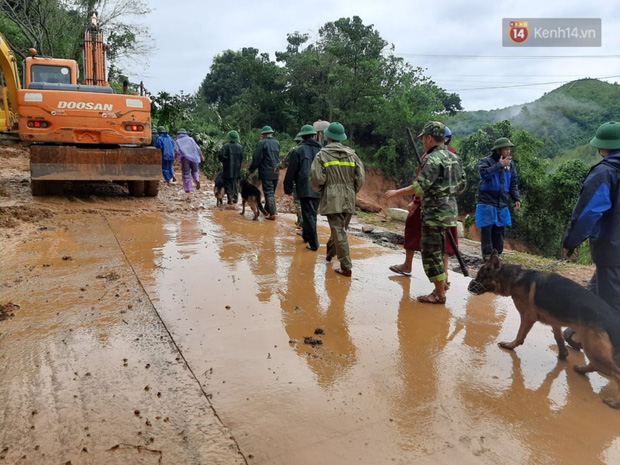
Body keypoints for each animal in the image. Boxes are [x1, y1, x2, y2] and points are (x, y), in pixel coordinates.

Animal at [470, 250, 620, 406]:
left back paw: (615, 402)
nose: (469, 287)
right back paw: (581, 369)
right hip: (592, 348)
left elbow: (520, 336)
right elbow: (558, 337)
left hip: (594, 349)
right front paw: (562, 354)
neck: (516, 278)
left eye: (480, 277)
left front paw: (510, 345)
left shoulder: (528, 317)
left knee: (617, 373)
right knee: (598, 365)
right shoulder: (554, 320)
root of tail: (613, 319)